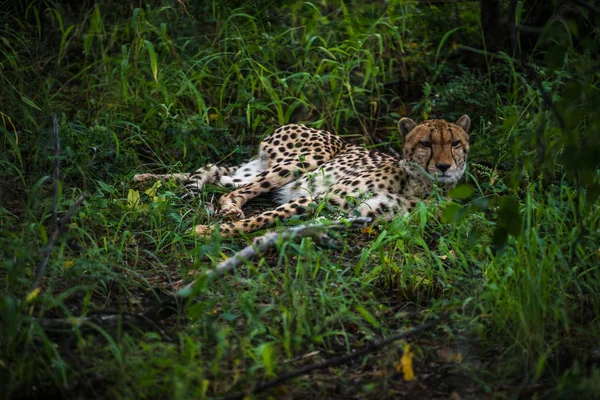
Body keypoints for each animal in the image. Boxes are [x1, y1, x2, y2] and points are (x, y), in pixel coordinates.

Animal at [134, 115, 472, 234]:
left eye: (455, 144)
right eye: (426, 144)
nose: (444, 167)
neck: (419, 185)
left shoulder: (355, 213)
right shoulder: (322, 197)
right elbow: (264, 217)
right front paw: (209, 232)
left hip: (253, 170)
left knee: (217, 174)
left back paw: (142, 180)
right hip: (306, 159)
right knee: (230, 189)